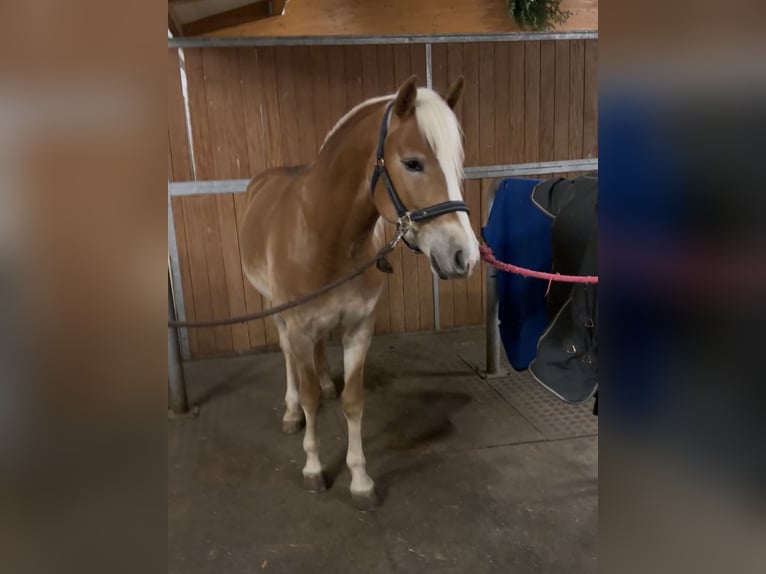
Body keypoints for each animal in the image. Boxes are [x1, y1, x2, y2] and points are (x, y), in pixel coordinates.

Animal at [240, 74, 480, 510]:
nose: (464, 257)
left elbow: (354, 401)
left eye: (457, 163)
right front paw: (313, 468)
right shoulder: (299, 325)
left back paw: (326, 383)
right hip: (277, 312)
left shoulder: (359, 328)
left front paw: (361, 481)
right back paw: (290, 413)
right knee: (288, 357)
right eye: (413, 163)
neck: (325, 235)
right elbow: (308, 397)